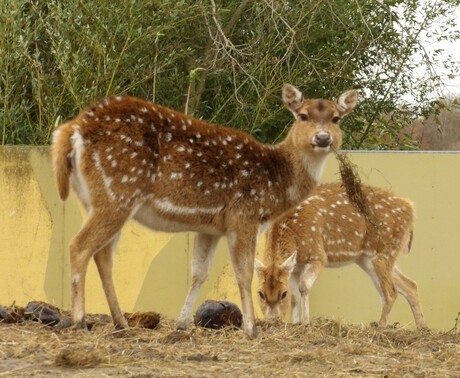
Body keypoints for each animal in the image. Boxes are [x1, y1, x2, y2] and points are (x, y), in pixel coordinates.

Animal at [52, 84, 358, 336]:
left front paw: (182, 323)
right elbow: (244, 273)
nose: (322, 138)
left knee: (102, 255)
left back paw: (121, 322)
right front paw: (251, 329)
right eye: (303, 115)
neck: (275, 181)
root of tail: (71, 130)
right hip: (116, 193)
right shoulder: (244, 215)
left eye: (336, 118)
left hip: (97, 199)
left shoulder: (210, 227)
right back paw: (80, 321)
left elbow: (199, 273)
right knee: (79, 246)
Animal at [253, 182, 426, 328]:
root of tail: (412, 210)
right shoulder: (296, 265)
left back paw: (380, 327)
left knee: (390, 292)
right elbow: (295, 295)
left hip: (383, 253)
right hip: (368, 259)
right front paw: (296, 322)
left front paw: (306, 321)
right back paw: (421, 328)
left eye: (283, 294)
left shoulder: (317, 255)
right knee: (409, 285)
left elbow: (304, 286)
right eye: (260, 293)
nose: (272, 321)